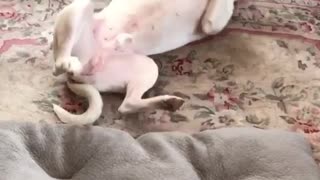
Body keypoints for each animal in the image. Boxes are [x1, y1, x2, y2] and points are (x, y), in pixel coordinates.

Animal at [52, 0, 235, 124]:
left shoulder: (212, 23)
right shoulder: (211, 22)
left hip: (148, 68)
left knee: (128, 104)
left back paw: (167, 103)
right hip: (79, 8)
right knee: (59, 63)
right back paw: (67, 62)